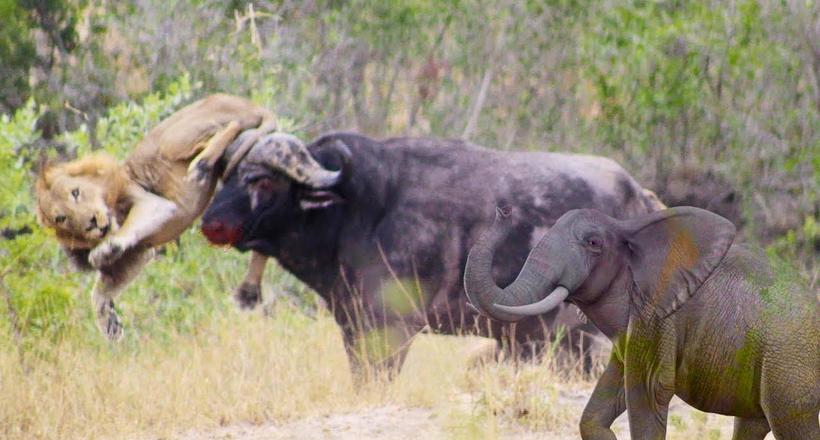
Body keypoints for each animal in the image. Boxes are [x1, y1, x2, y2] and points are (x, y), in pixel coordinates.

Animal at [36, 93, 278, 340]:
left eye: (75, 192)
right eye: (62, 219)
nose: (91, 223)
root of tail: (250, 104)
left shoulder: (152, 202)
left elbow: (124, 232)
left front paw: (103, 250)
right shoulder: (139, 252)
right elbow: (101, 289)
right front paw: (109, 323)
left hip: (174, 137)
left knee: (232, 125)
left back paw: (201, 165)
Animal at [200, 132, 668, 370]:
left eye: (263, 180)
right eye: (230, 175)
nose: (211, 223)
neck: (359, 212)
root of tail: (642, 199)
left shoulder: (391, 328)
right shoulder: (354, 326)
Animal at [464, 207, 816, 440]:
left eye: (593, 243)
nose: (503, 212)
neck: (628, 227)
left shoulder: (656, 320)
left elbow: (648, 392)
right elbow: (597, 411)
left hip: (790, 368)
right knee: (752, 422)